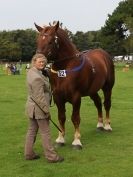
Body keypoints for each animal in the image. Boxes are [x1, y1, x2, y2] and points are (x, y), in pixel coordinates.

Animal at [34, 21, 115, 149]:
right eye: (38, 41)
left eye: (50, 41)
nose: (38, 60)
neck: (66, 68)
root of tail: (104, 54)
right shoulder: (57, 97)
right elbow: (61, 117)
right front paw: (60, 139)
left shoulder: (76, 97)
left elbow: (75, 118)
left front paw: (77, 141)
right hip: (92, 91)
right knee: (98, 103)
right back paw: (100, 124)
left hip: (108, 87)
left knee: (107, 104)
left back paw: (107, 125)